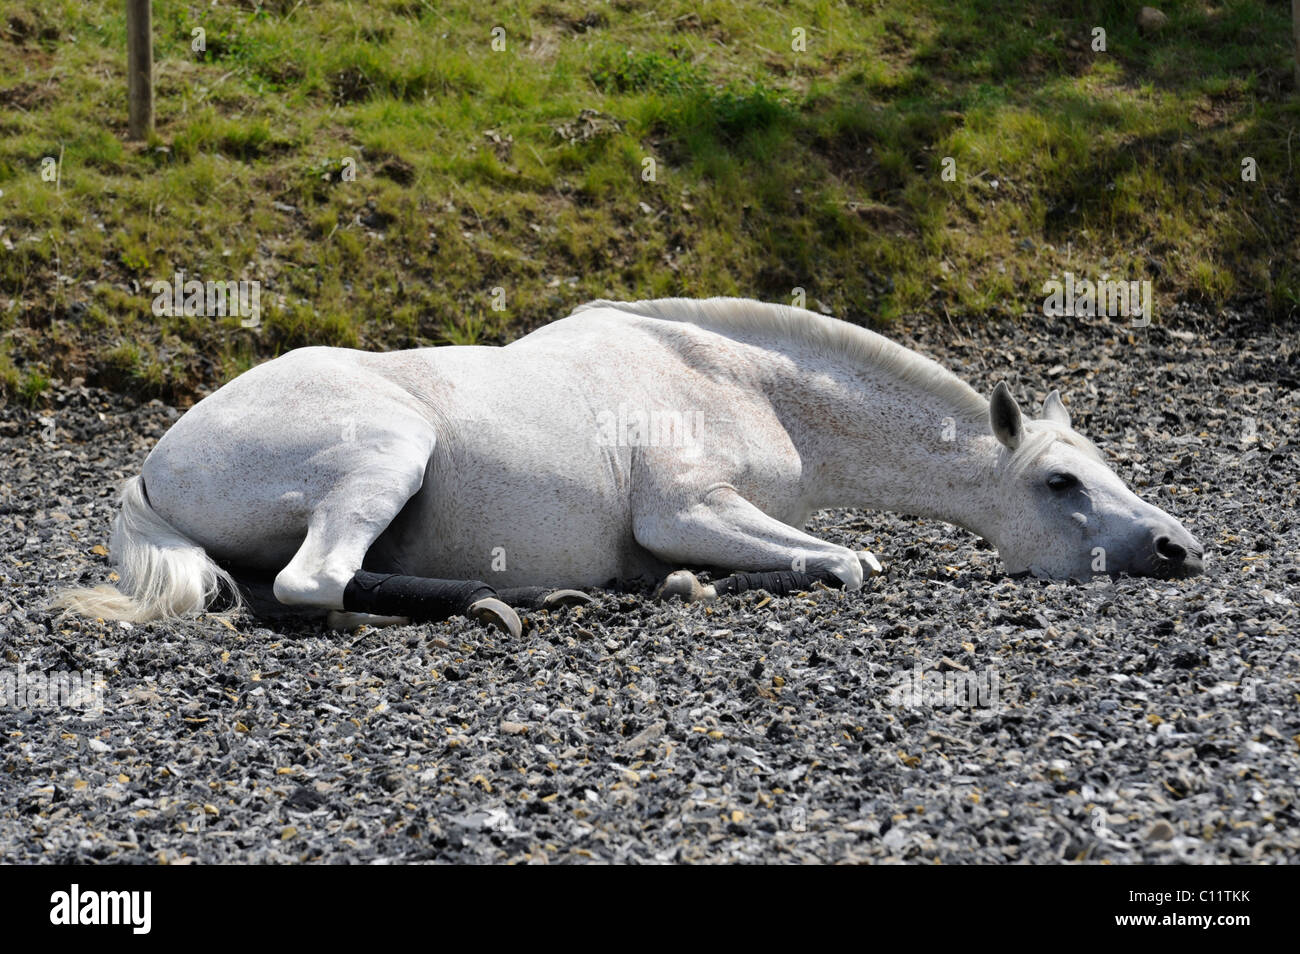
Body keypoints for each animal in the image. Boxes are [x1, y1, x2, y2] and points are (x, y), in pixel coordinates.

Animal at [55, 297, 1203, 635]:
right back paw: (507, 604)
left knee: (275, 584)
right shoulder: (687, 507)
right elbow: (844, 562)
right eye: (1060, 485)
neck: (744, 379)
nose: (1176, 548)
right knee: (313, 585)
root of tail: (154, 465)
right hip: (385, 452)